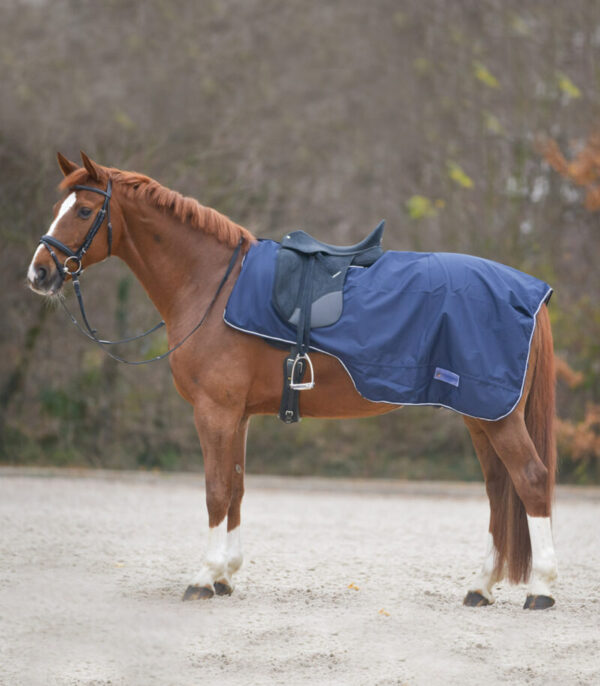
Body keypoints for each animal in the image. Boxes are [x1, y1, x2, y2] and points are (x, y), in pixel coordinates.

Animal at [25, 153, 556, 612]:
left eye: (85, 210)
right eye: (57, 209)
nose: (39, 272)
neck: (211, 285)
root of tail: (529, 292)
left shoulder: (214, 411)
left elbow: (215, 489)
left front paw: (204, 577)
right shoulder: (236, 415)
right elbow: (236, 488)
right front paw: (226, 575)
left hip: (496, 416)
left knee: (530, 480)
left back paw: (542, 589)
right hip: (479, 415)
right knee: (498, 489)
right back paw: (481, 586)